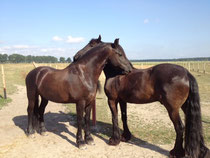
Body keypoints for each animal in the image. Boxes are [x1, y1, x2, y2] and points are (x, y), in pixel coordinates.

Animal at [74, 35, 209, 157]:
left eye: (91, 45)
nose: (75, 57)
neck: (116, 74)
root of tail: (186, 73)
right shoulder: (122, 100)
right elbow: (124, 117)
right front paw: (125, 137)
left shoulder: (112, 100)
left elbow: (114, 118)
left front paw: (114, 140)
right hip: (185, 106)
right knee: (195, 126)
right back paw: (202, 151)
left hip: (173, 109)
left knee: (179, 127)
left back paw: (176, 152)